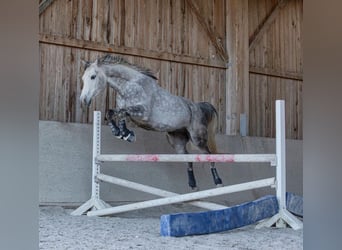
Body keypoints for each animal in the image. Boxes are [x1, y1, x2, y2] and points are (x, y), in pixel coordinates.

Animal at [81, 55, 223, 189]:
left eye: (93, 77)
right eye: (83, 78)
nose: (83, 100)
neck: (129, 85)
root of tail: (199, 106)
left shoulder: (143, 113)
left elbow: (122, 113)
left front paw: (126, 134)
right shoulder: (126, 110)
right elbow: (113, 113)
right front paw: (122, 133)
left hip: (197, 139)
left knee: (209, 155)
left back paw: (218, 181)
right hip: (177, 141)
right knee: (188, 160)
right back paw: (192, 184)